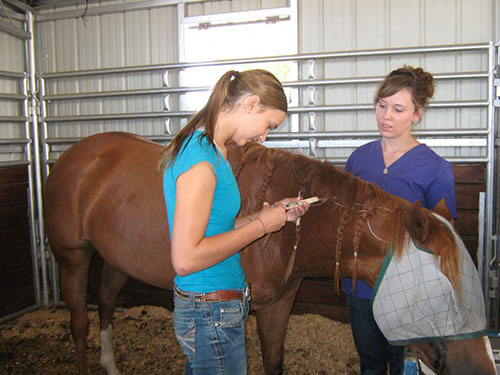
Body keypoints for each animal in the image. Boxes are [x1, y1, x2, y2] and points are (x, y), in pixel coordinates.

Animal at [44, 132, 496, 375]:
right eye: (446, 294)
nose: (484, 368)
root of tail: (75, 157)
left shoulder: (280, 304)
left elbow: (274, 361)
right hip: (73, 257)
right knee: (80, 322)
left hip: (117, 260)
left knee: (105, 303)